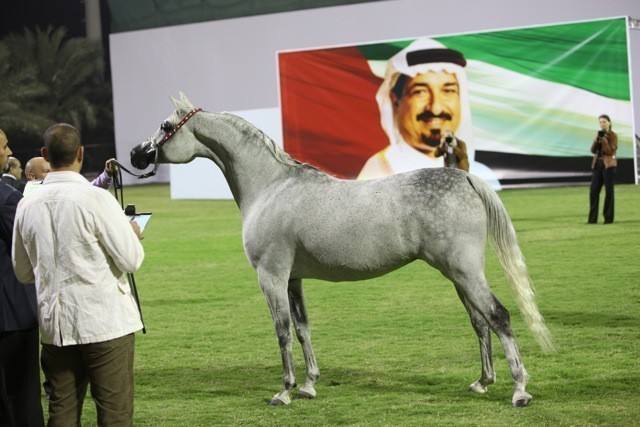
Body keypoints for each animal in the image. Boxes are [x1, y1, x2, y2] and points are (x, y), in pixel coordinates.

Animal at [130, 92, 554, 407]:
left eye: (166, 127)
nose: (136, 153)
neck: (272, 186)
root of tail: (464, 177)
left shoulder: (271, 276)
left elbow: (282, 331)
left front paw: (284, 391)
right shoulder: (293, 278)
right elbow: (302, 328)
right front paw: (309, 385)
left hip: (464, 271)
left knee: (498, 316)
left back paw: (519, 390)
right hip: (458, 275)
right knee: (480, 321)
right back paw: (483, 382)